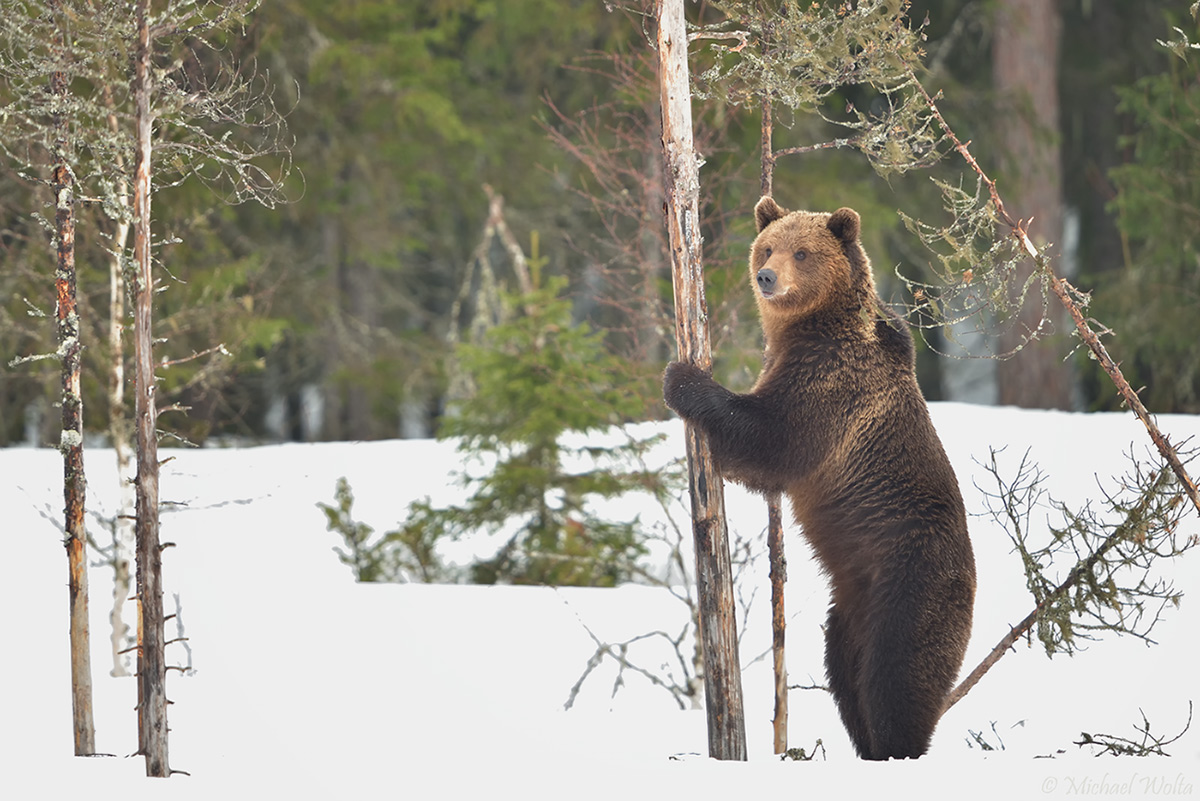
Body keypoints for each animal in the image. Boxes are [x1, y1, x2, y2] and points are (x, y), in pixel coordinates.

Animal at [662, 196, 979, 762]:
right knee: (845, 675)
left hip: (911, 583)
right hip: (850, 609)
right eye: (768, 246)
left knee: (897, 678)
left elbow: (774, 439)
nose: (766, 276)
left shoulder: (834, 381)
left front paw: (682, 379)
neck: (808, 328)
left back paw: (897, 745)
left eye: (803, 252)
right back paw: (867, 746)